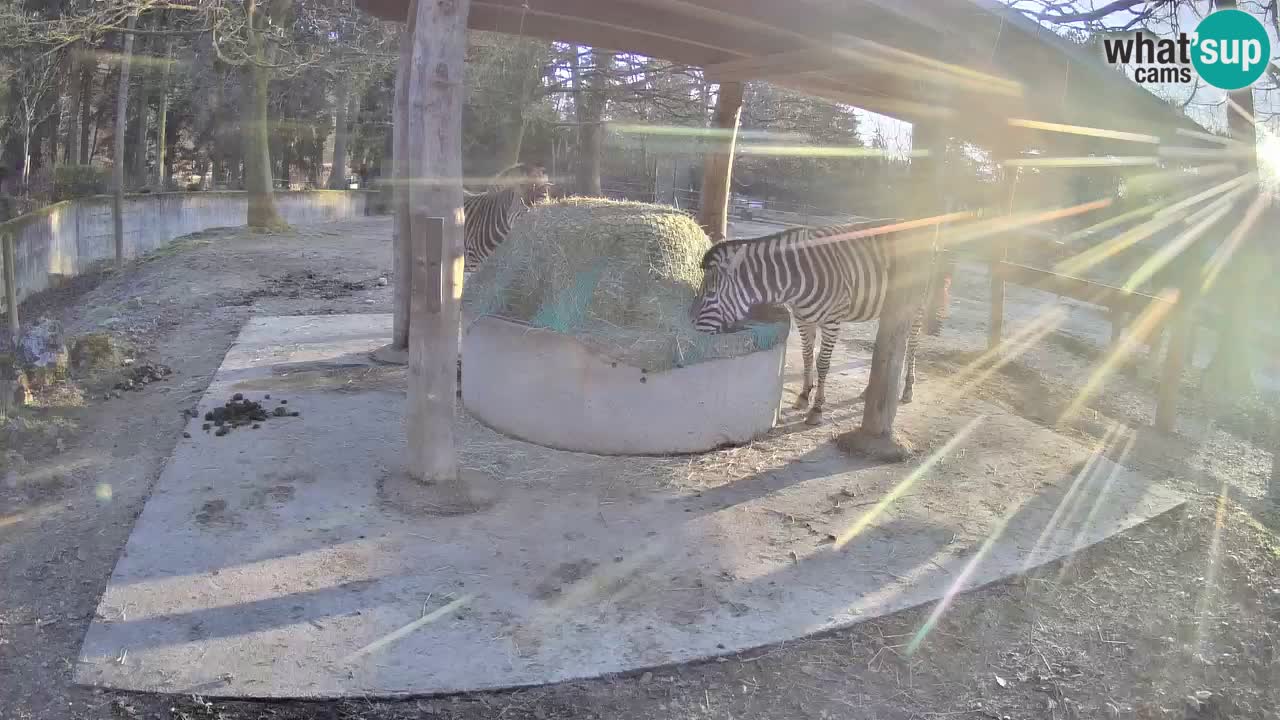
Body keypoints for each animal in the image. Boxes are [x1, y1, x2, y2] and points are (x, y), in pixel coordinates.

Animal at [691, 220, 938, 426]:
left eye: (710, 294)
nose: (692, 330)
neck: (795, 281)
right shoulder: (803, 319)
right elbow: (807, 356)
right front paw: (803, 397)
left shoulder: (832, 322)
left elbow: (823, 364)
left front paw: (817, 410)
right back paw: (870, 391)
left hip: (917, 302)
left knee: (912, 344)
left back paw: (907, 389)